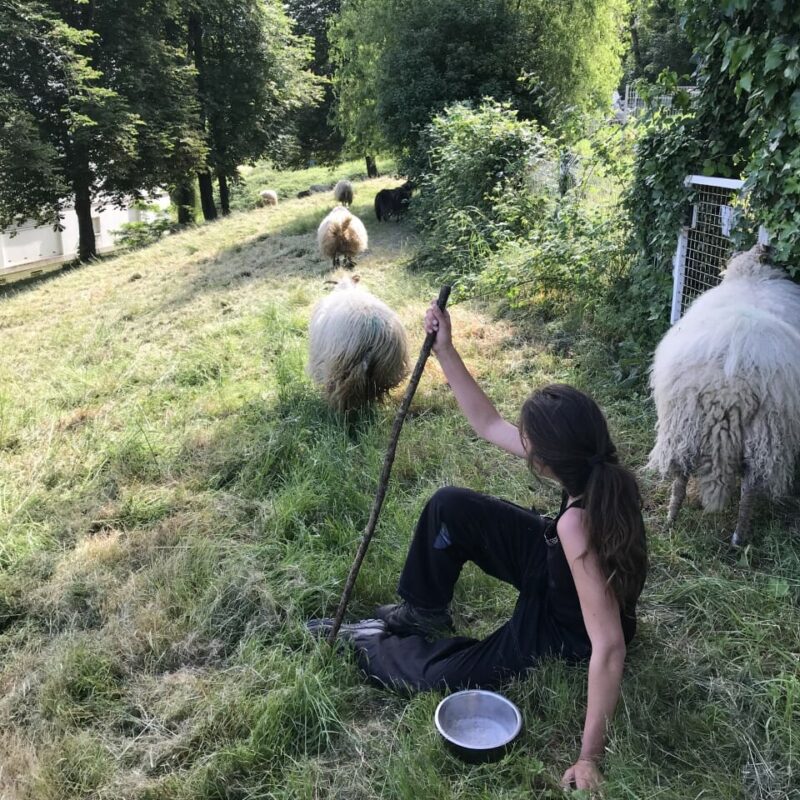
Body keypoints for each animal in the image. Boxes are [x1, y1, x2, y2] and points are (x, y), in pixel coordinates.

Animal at [308, 276, 410, 412]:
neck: (346, 289)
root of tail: (374, 332)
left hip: (341, 369)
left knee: (341, 395)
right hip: (383, 371)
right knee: (371, 392)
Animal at [648, 244, 800, 544]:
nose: (765, 247)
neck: (750, 276)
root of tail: (729, 390)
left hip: (686, 421)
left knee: (684, 473)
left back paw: (674, 519)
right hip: (765, 429)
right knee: (749, 483)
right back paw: (737, 536)